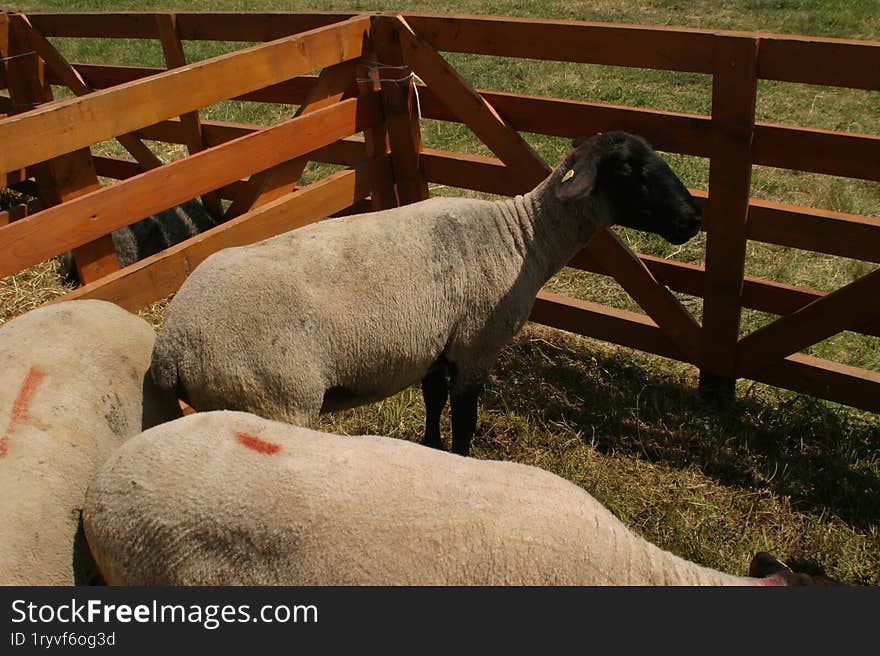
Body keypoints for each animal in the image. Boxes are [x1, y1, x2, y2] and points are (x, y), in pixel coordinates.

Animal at [150, 132, 700, 456]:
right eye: (627, 169)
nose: (692, 219)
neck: (523, 237)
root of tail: (171, 345)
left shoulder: (439, 345)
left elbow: (434, 402)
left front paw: (430, 447)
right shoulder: (478, 346)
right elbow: (466, 418)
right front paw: (460, 459)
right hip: (275, 400)